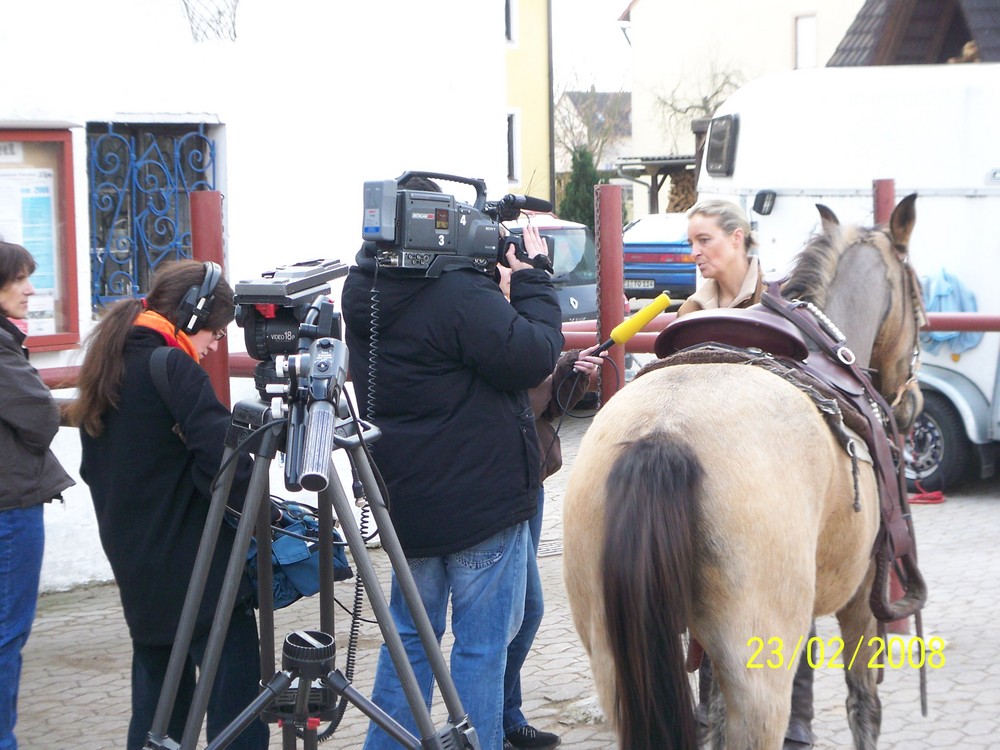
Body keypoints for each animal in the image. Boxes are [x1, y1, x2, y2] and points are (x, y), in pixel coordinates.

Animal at [568, 195, 924, 750]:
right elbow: (863, 705)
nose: (913, 405)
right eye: (918, 295)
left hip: (613, 660)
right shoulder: (862, 596)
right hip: (759, 668)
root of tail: (661, 434)